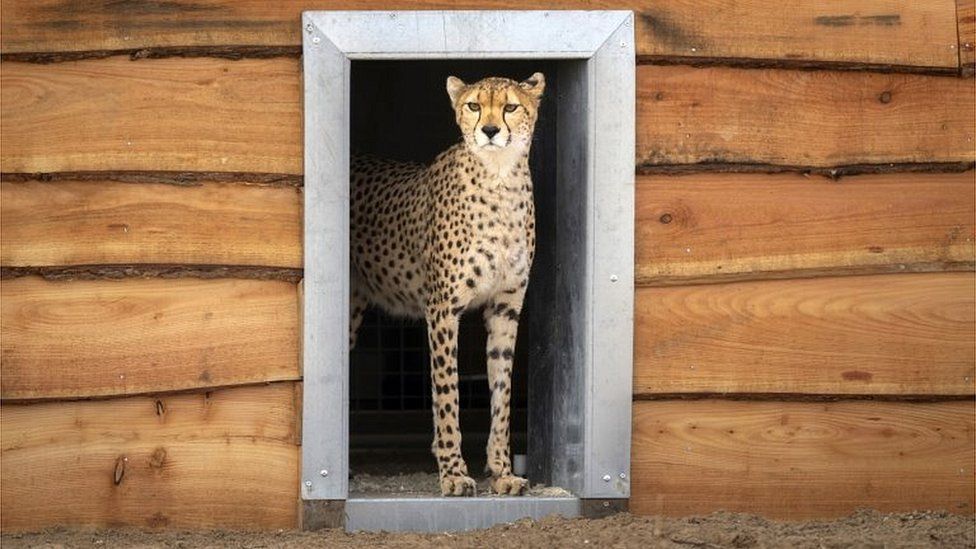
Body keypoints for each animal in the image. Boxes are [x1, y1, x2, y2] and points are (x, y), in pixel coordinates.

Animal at [350, 70, 548, 494]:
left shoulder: (506, 308)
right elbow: (446, 392)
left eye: (510, 106)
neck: (499, 179)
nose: (489, 130)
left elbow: (502, 393)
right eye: (473, 105)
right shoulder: (441, 310)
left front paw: (502, 471)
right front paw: (454, 472)